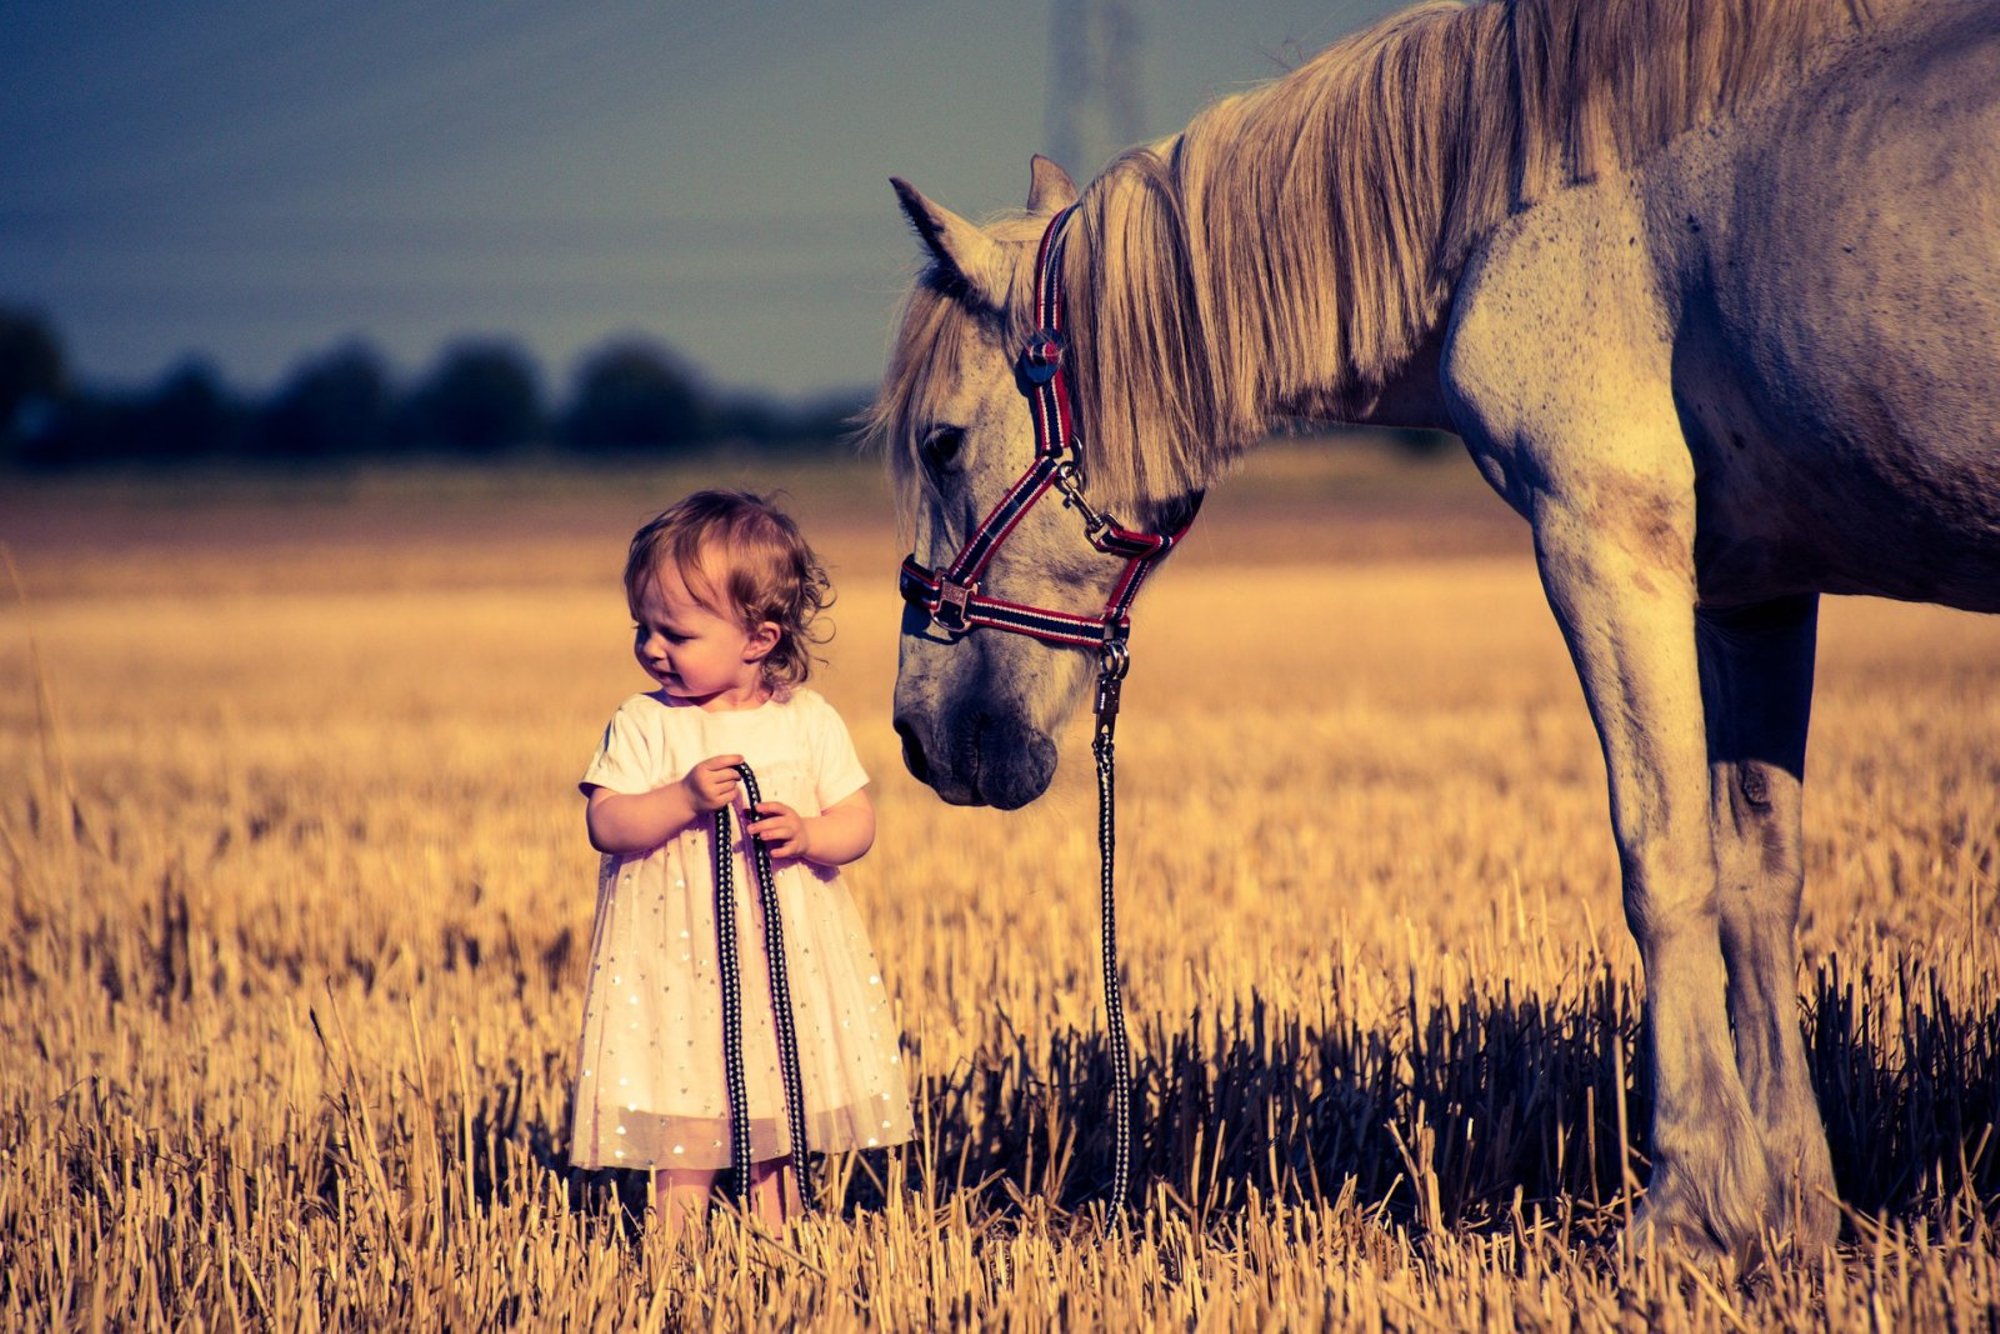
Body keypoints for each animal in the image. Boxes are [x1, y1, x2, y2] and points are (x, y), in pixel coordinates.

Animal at [880, 0, 2000, 1256]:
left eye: (937, 442)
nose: (919, 733)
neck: (1525, 188)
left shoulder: (1602, 538)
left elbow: (1661, 861)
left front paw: (1689, 1210)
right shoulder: (1750, 585)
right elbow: (1759, 874)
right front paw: (1790, 1209)